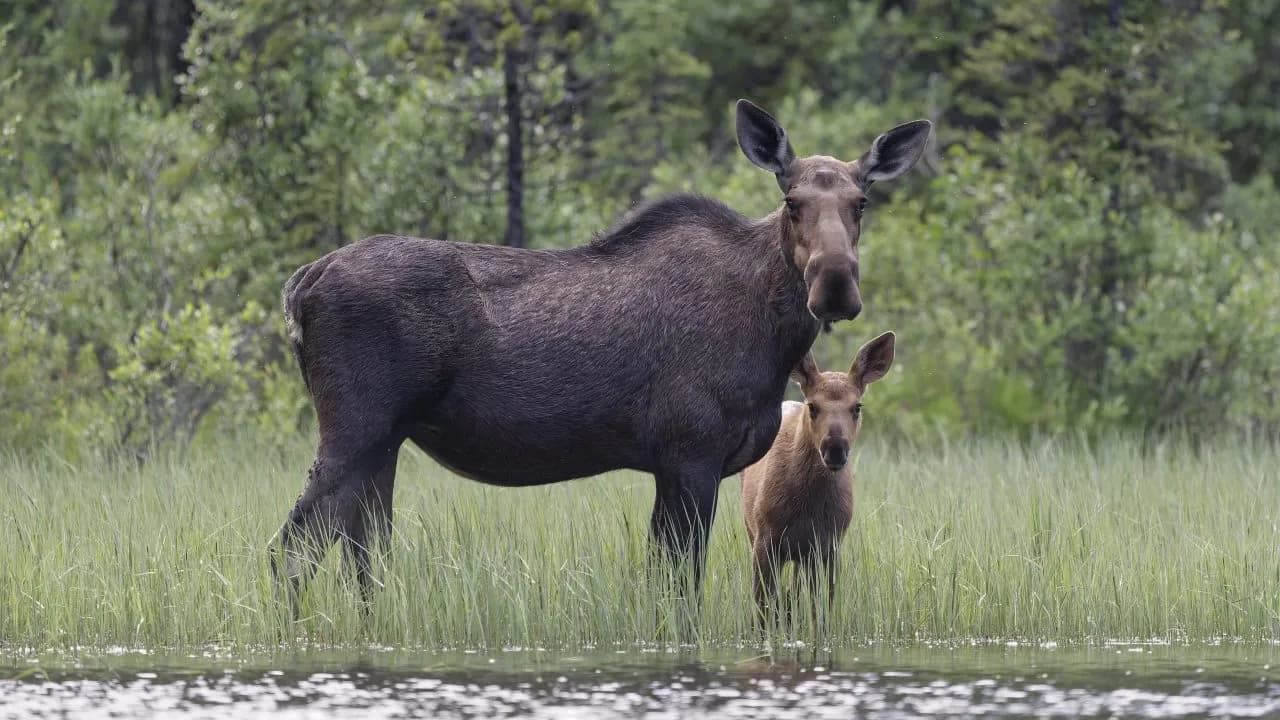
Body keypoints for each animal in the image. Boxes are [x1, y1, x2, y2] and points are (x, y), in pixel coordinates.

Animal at [740, 331, 896, 629]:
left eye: (857, 407)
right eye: (813, 406)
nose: (835, 448)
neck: (807, 503)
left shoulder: (829, 546)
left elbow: (821, 613)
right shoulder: (765, 542)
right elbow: (763, 611)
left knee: (794, 595)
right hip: (754, 531)